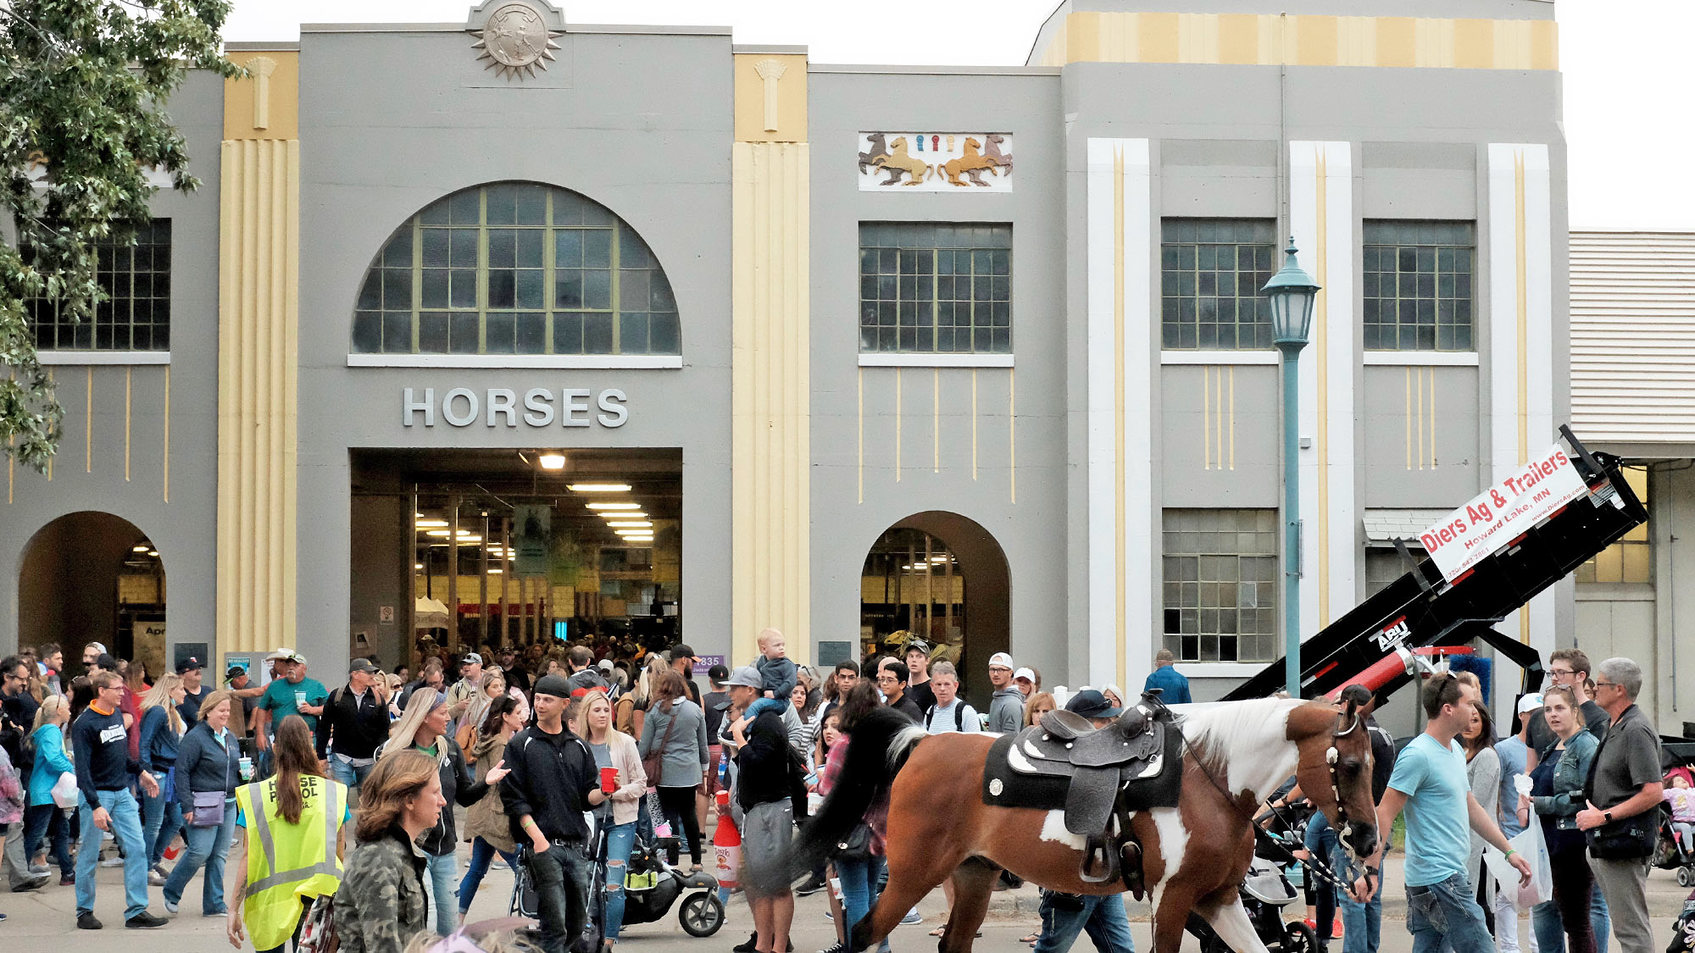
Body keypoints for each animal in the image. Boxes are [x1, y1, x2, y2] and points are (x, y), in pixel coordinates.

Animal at [796, 688, 1376, 949]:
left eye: (1376, 761)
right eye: (1349, 765)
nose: (1368, 840)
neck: (1207, 778)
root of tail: (922, 741)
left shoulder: (1220, 899)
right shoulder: (1174, 899)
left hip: (974, 878)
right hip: (912, 876)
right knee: (862, 932)